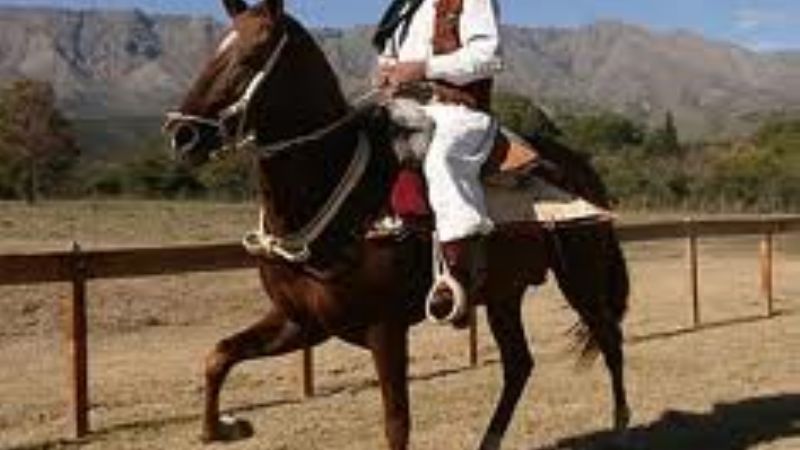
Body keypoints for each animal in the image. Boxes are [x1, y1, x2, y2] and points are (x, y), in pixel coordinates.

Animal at [163, 1, 631, 448]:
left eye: (251, 54)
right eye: (214, 51)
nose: (182, 135)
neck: (339, 190)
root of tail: (581, 167)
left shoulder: (384, 328)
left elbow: (397, 424)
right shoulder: (302, 322)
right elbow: (219, 356)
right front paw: (224, 427)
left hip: (582, 279)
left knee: (609, 338)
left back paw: (621, 425)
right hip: (504, 293)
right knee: (519, 364)